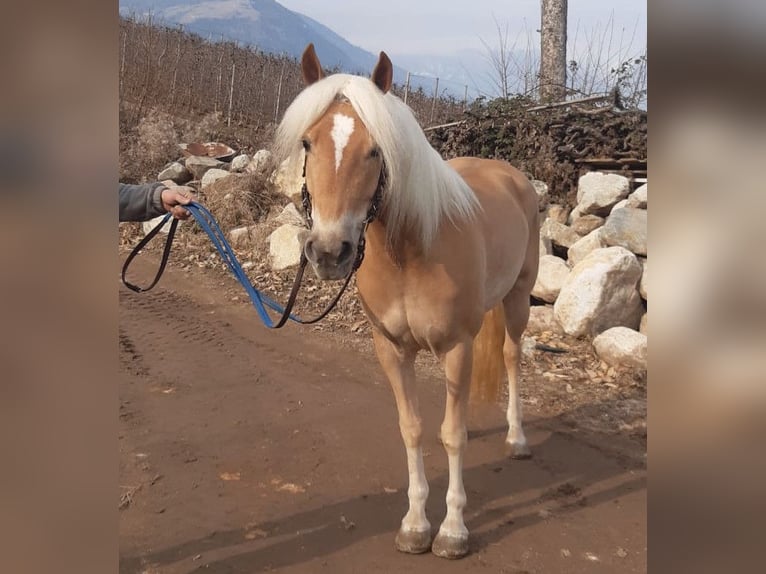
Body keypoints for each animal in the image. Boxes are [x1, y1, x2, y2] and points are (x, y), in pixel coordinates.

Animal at [274, 46, 540, 564]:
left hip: (518, 299)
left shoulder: (457, 346)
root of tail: (512, 176)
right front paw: (416, 525)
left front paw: (453, 532)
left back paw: (517, 438)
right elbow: (413, 428)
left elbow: (453, 435)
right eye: (308, 144)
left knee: (511, 356)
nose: (330, 253)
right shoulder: (392, 348)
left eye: (376, 150)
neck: (412, 250)